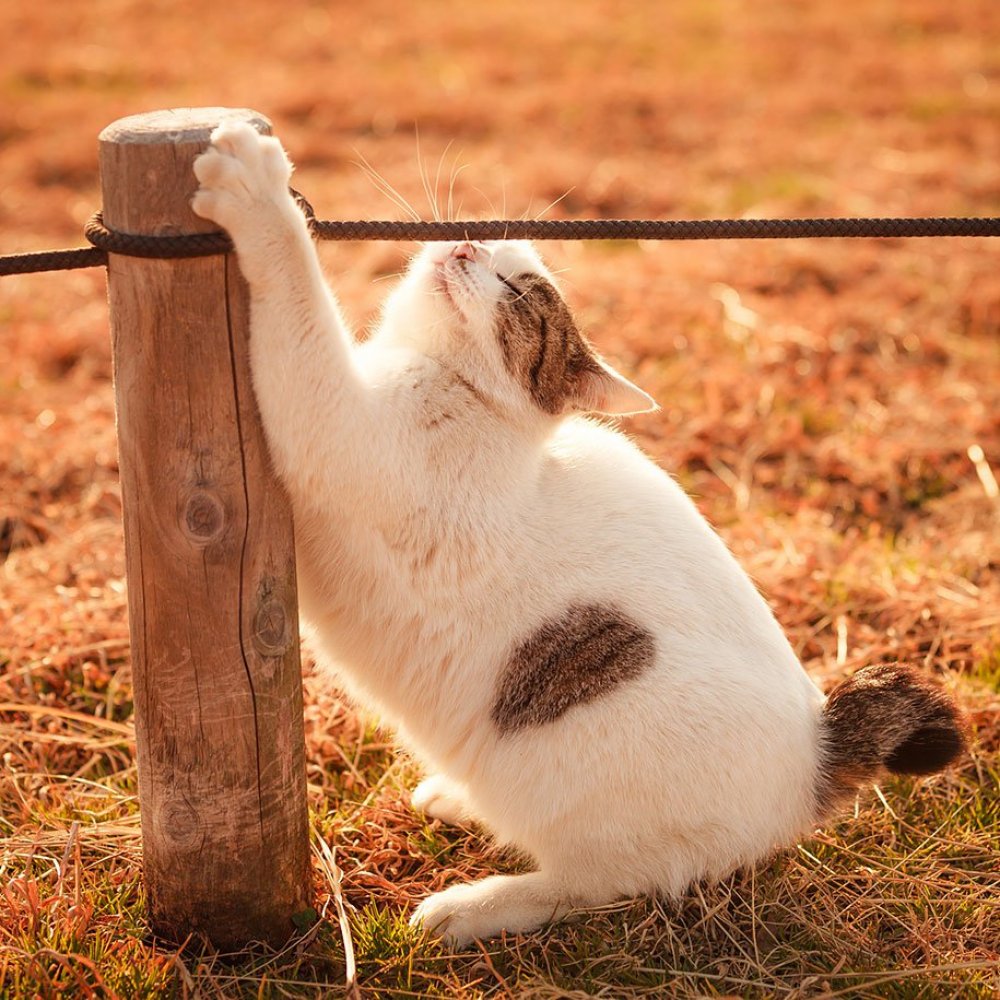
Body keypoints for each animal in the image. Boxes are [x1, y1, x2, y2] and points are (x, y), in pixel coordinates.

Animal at [191, 123, 964, 944]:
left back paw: (472, 907)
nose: (464, 246)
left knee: (595, 886)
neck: (469, 401)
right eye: (486, 244)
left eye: (519, 293)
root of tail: (818, 751)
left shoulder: (330, 419)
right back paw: (458, 799)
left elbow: (298, 293)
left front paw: (260, 192)